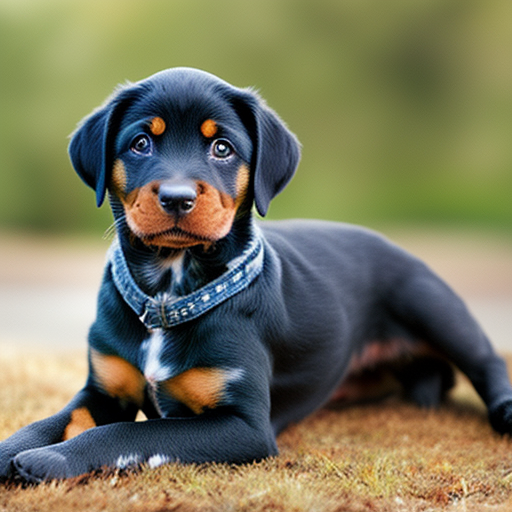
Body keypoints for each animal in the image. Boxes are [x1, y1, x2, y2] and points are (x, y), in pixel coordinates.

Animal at [1, 67, 512, 480]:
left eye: (222, 147)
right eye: (140, 143)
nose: (177, 197)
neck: (169, 294)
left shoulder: (243, 425)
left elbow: (131, 436)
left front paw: (54, 459)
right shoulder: (102, 390)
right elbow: (50, 422)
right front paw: (15, 449)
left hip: (434, 305)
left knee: (486, 361)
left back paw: (505, 410)